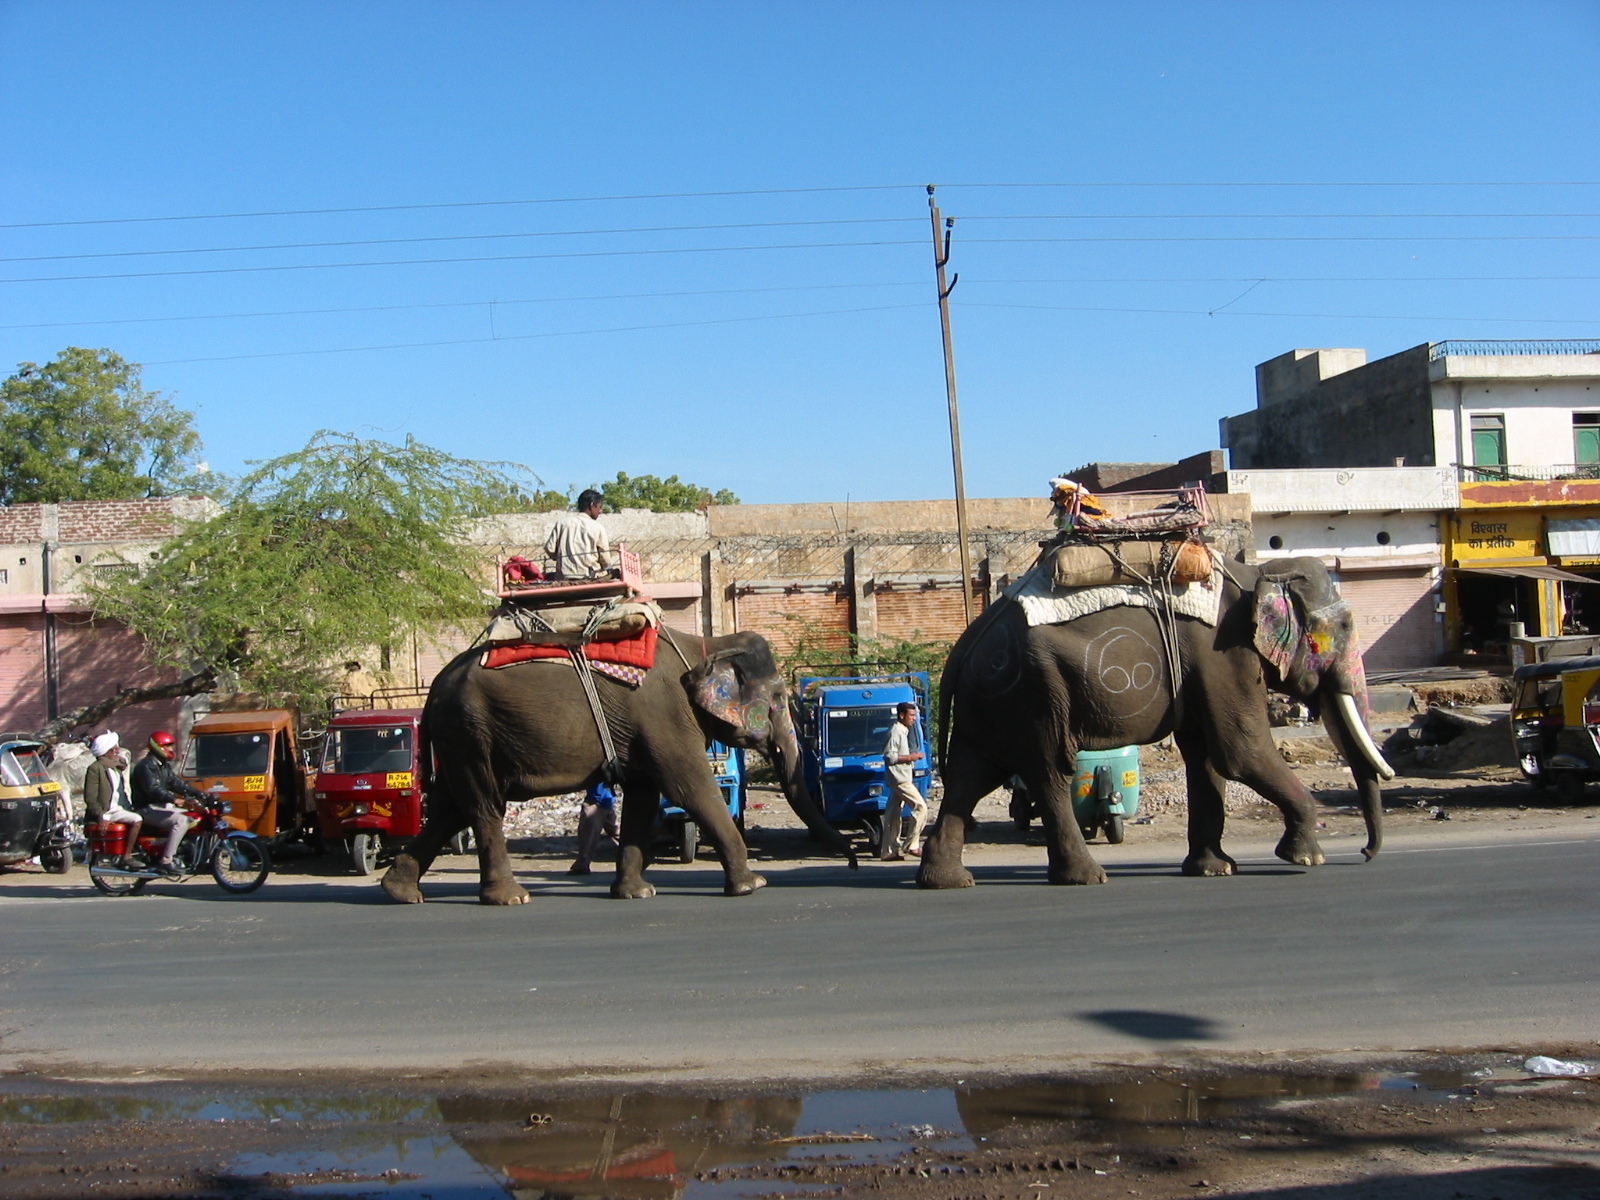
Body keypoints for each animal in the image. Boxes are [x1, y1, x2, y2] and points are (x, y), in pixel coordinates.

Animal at [380, 633, 857, 908]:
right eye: (776, 698)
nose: (852, 862)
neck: (706, 643)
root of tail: (433, 687)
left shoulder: (645, 729)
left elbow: (645, 795)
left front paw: (635, 893)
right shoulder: (665, 714)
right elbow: (689, 788)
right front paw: (752, 885)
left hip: (458, 740)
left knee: (451, 807)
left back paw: (400, 892)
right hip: (470, 732)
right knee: (483, 806)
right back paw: (511, 898)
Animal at [921, 556, 1395, 896]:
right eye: (1345, 626)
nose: (1365, 852)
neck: (1260, 573)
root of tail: (964, 645)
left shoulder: (1204, 669)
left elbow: (1205, 757)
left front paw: (1213, 870)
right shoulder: (1225, 655)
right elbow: (1240, 752)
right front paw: (1306, 860)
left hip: (993, 701)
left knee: (969, 776)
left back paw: (946, 881)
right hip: (1032, 693)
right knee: (1049, 773)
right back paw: (1086, 877)